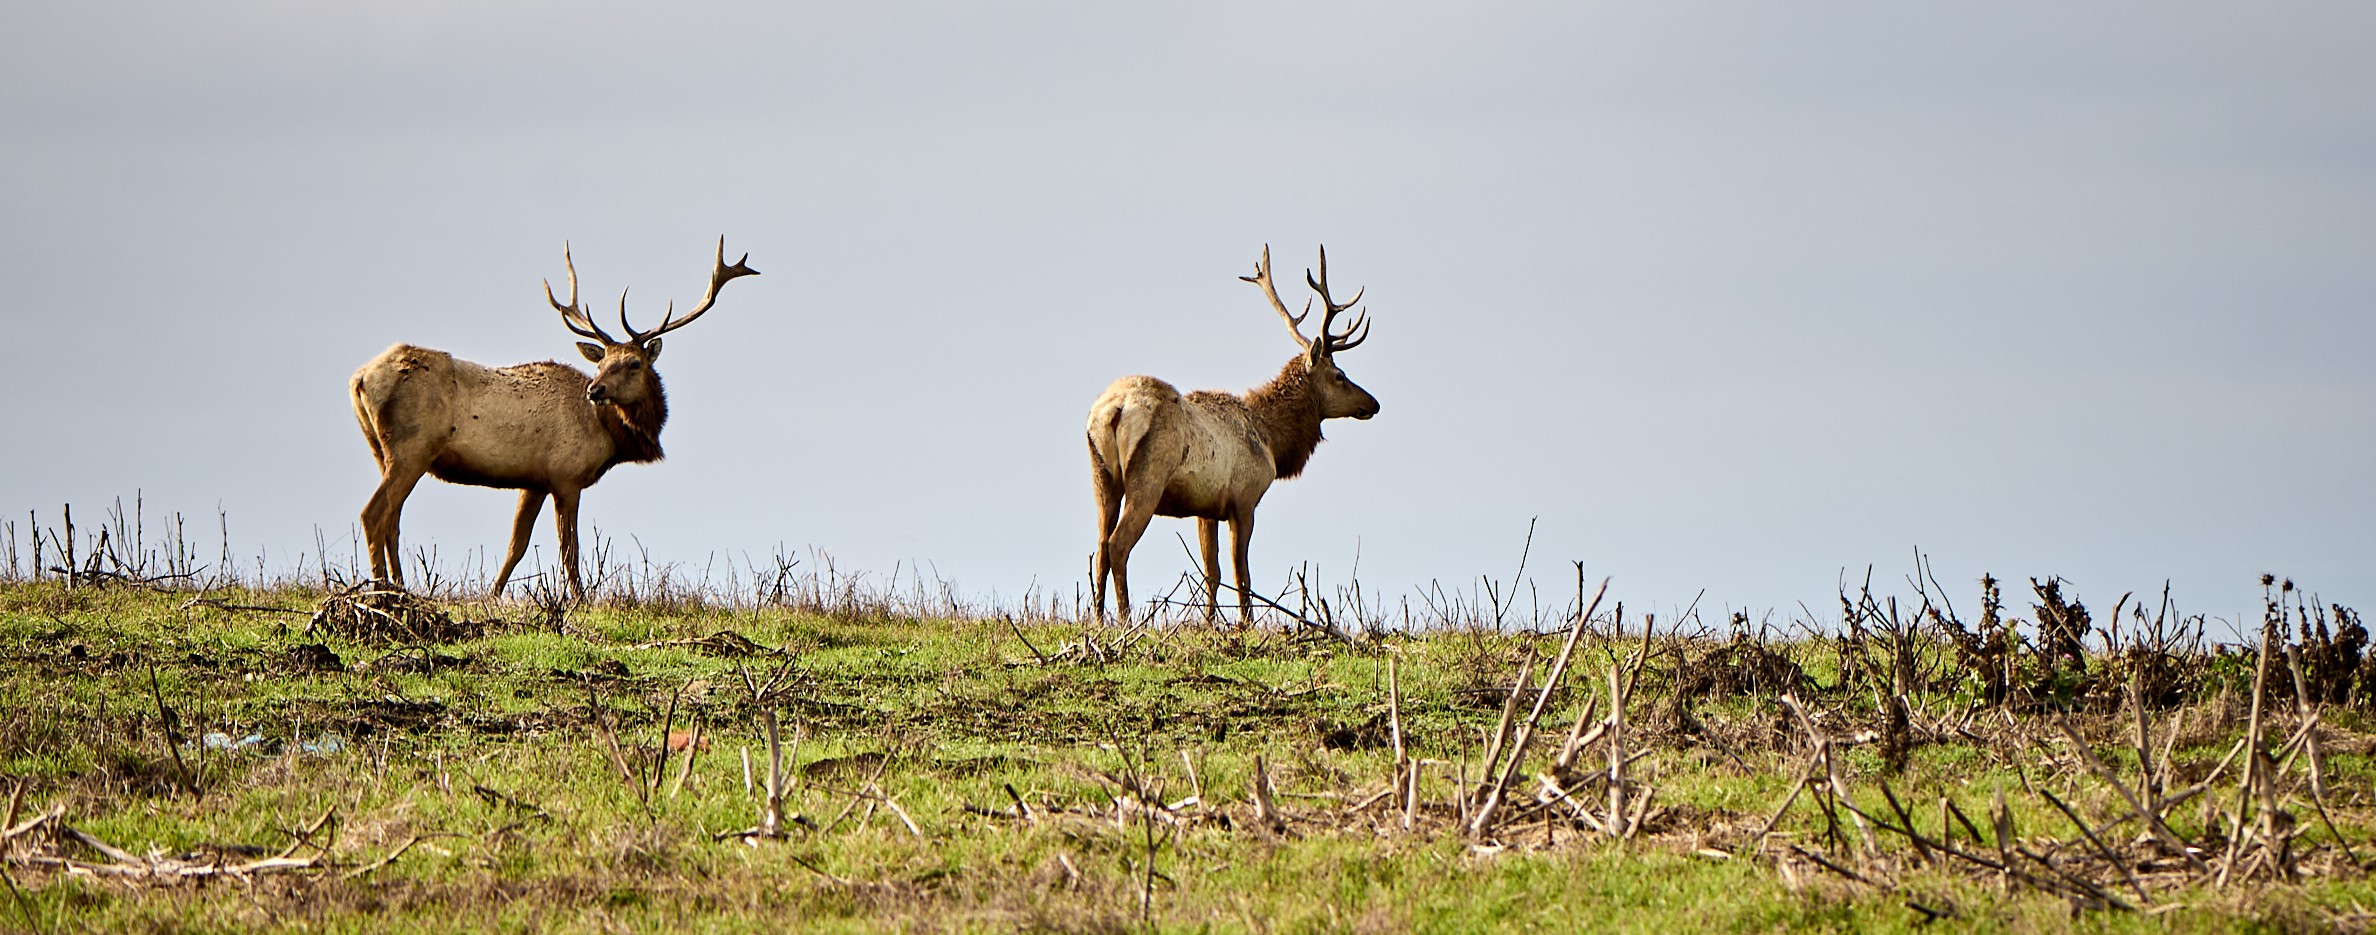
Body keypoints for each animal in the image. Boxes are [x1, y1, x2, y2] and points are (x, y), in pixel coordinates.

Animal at [350, 238, 758, 601]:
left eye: (633, 363)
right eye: (602, 361)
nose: (595, 389)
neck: (610, 437)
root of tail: (360, 378)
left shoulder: (534, 481)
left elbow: (516, 544)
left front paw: (493, 594)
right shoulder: (566, 476)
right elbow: (569, 550)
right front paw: (579, 600)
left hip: (381, 450)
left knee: (392, 519)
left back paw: (399, 587)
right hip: (413, 447)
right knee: (374, 514)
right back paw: (380, 590)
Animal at [1086, 244, 1381, 626]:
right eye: (1339, 375)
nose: (1373, 403)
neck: (1272, 440)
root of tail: (1114, 409)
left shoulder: (1206, 508)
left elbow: (1212, 572)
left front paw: (1211, 622)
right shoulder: (1244, 499)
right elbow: (1242, 573)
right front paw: (1245, 623)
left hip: (1103, 477)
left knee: (1099, 547)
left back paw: (1097, 618)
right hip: (1147, 477)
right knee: (1118, 544)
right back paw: (1125, 620)